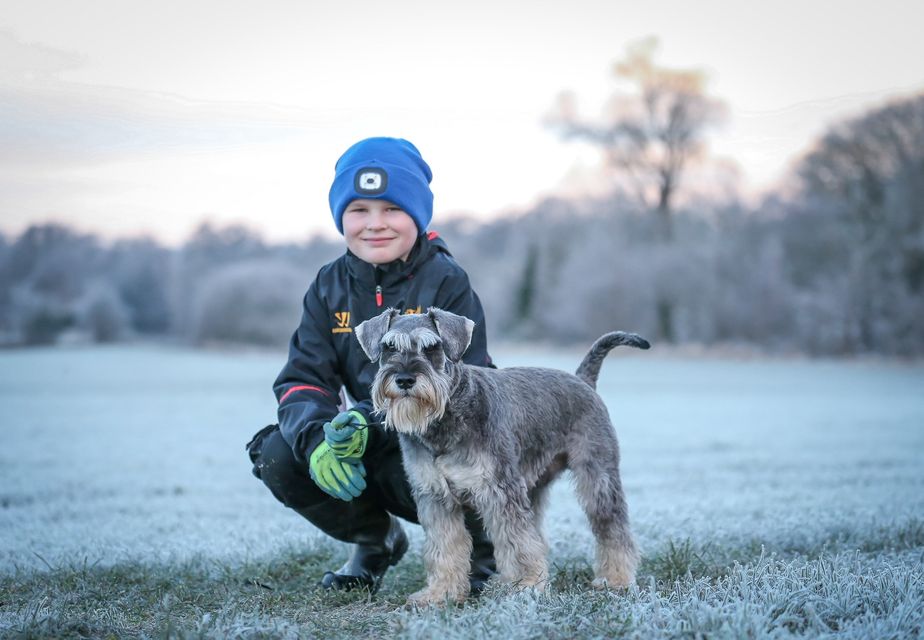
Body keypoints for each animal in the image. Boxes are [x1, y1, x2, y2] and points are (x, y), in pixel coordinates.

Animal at [356, 308, 648, 604]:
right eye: (389, 347)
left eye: (432, 347)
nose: (404, 379)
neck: (448, 413)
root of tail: (583, 380)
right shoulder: (435, 497)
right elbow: (445, 546)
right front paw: (440, 593)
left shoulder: (499, 490)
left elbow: (516, 541)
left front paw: (526, 585)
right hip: (534, 486)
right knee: (538, 533)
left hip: (598, 477)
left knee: (612, 528)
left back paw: (616, 579)